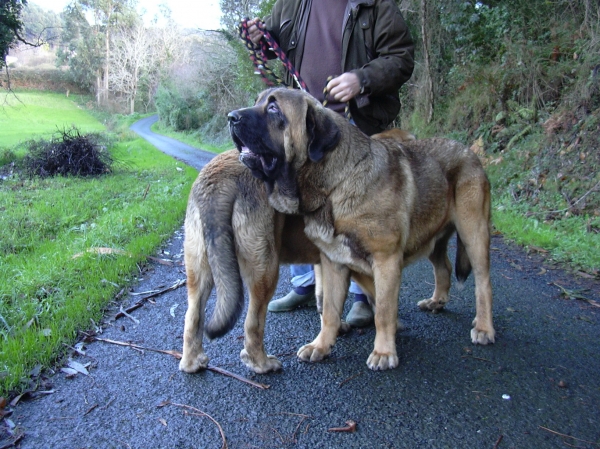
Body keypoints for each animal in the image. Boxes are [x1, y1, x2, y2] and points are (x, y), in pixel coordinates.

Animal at [227, 86, 494, 370]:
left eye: (273, 108)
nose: (231, 117)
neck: (334, 186)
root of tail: (470, 152)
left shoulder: (386, 261)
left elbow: (384, 312)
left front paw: (384, 352)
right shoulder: (333, 262)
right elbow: (330, 311)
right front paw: (321, 346)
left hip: (473, 233)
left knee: (483, 283)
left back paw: (484, 327)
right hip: (433, 236)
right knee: (443, 267)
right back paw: (437, 301)